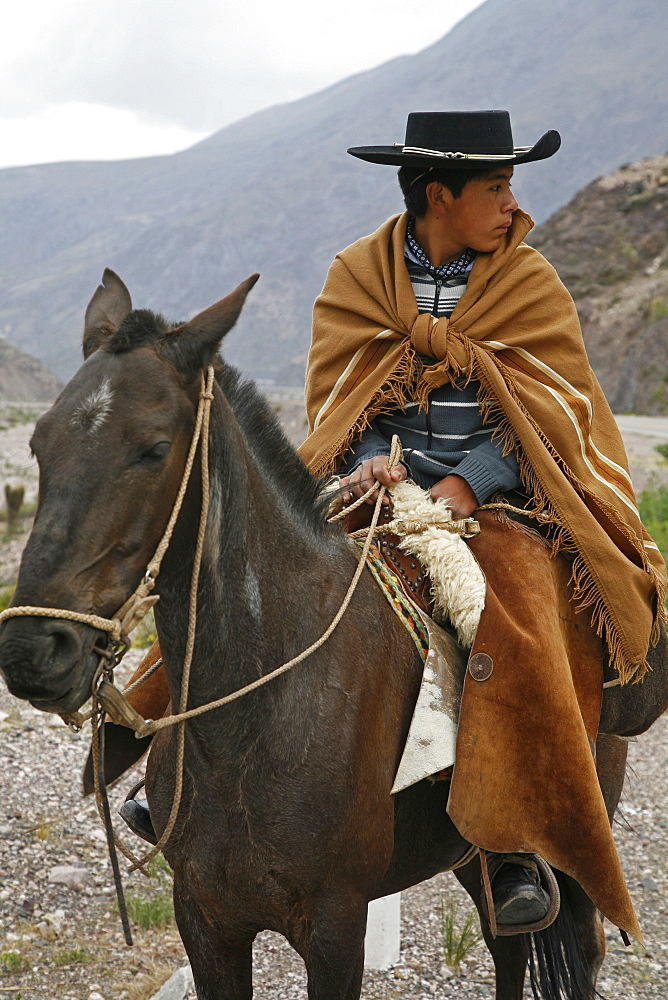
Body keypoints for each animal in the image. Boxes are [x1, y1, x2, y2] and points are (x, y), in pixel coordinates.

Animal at [0, 268, 664, 1000]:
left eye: (152, 449)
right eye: (39, 445)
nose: (34, 651)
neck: (258, 719)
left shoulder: (336, 927)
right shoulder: (205, 918)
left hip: (573, 827)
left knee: (578, 944)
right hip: (470, 843)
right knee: (507, 943)